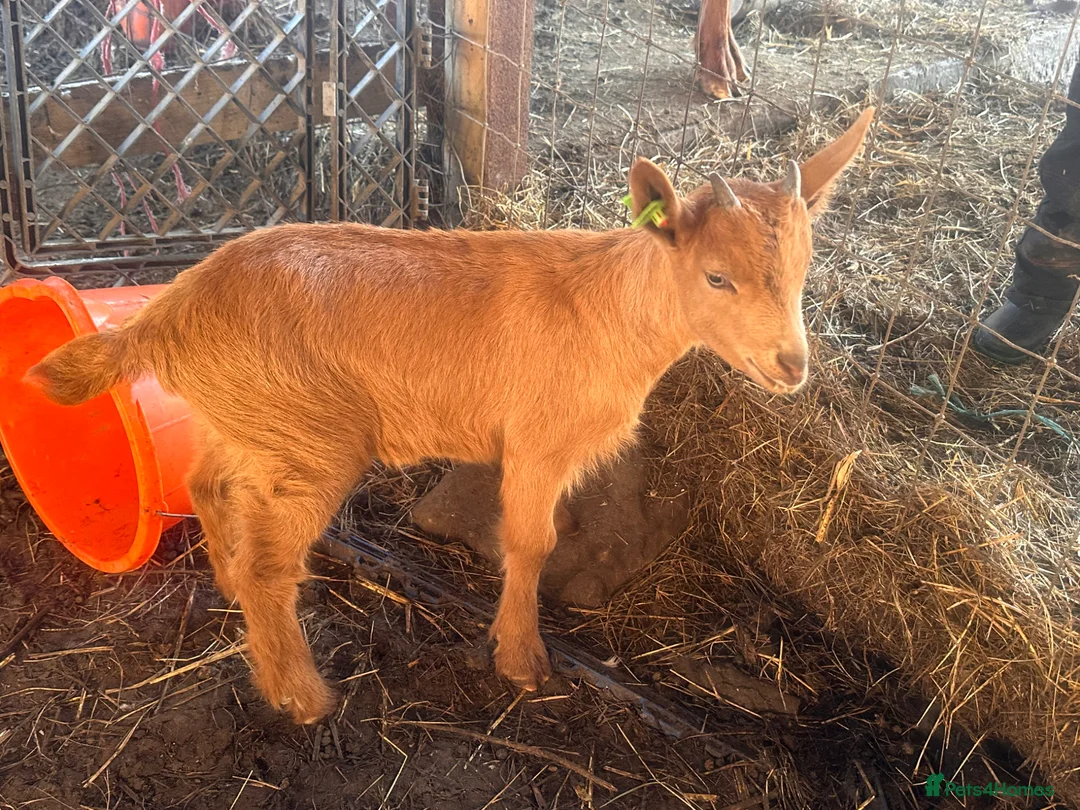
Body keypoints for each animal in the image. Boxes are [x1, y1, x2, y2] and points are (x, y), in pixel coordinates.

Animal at [27, 108, 874, 724]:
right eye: (716, 277)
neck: (607, 310)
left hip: (251, 422)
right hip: (310, 441)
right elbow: (530, 545)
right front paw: (521, 660)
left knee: (207, 485)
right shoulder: (536, 442)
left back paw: (231, 588)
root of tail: (169, 311)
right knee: (274, 563)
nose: (791, 367)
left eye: (803, 268)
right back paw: (300, 696)